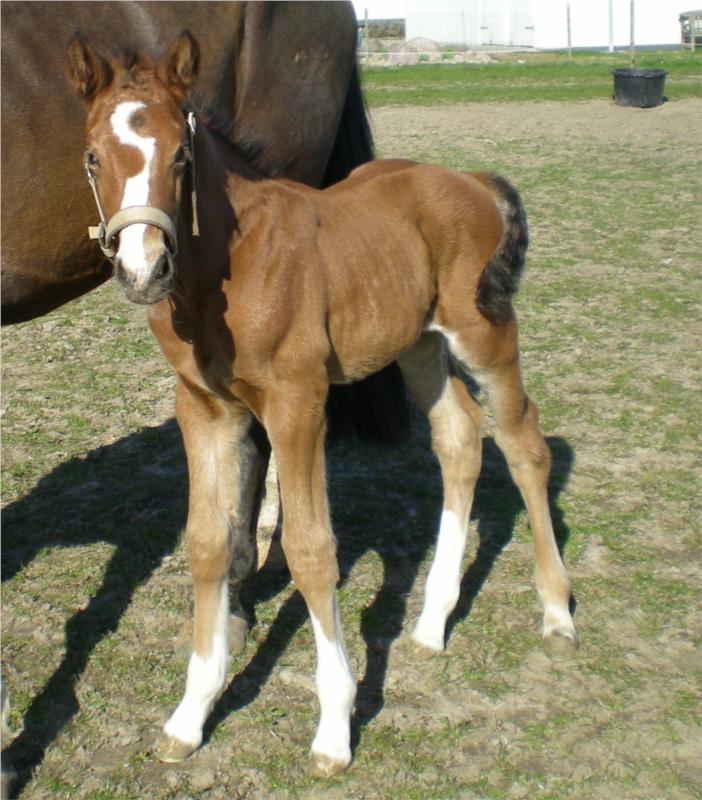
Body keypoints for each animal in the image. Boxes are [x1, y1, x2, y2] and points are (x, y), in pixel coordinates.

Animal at [69, 32, 580, 776]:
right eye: (93, 157)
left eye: (182, 157)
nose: (144, 269)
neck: (225, 268)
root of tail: (470, 179)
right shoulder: (204, 409)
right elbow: (207, 543)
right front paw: (191, 714)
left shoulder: (297, 402)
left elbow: (311, 551)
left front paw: (334, 726)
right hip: (418, 344)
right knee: (459, 438)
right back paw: (431, 623)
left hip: (484, 330)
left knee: (525, 445)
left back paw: (557, 614)